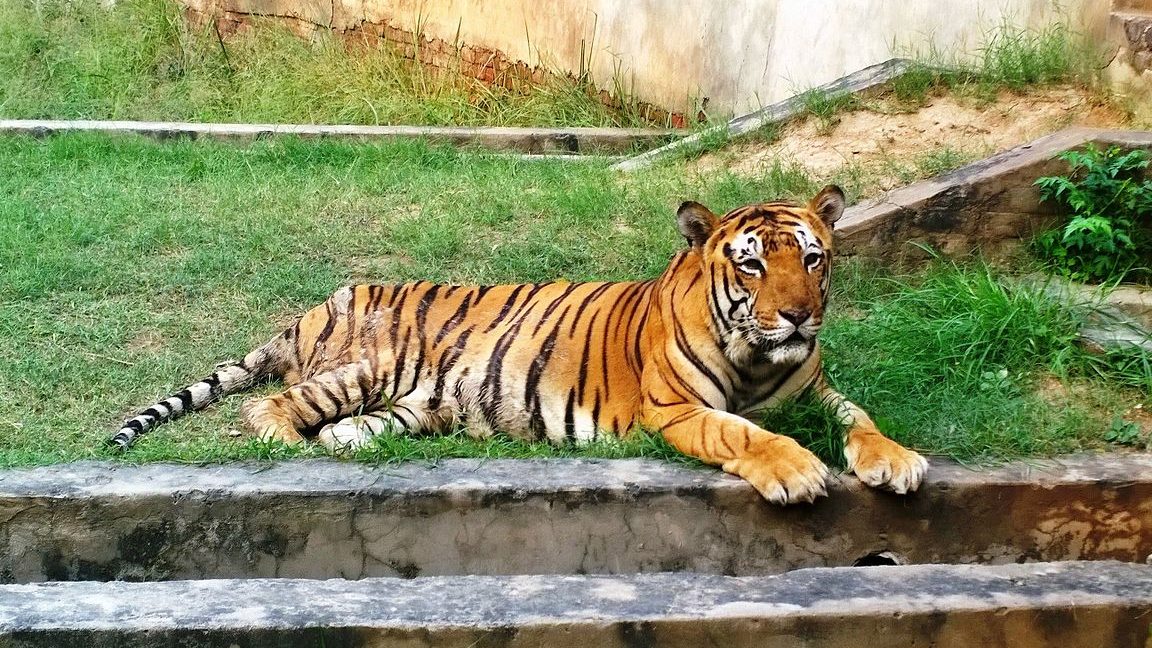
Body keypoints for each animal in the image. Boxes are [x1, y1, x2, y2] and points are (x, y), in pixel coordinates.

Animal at [112, 185, 928, 505]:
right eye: (753, 264)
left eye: (813, 258)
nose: (797, 317)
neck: (760, 361)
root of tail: (323, 300)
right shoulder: (676, 411)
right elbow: (745, 434)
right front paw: (797, 472)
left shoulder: (817, 390)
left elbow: (862, 419)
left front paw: (897, 461)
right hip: (362, 368)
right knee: (266, 409)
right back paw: (287, 449)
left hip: (417, 404)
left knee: (349, 430)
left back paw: (342, 446)